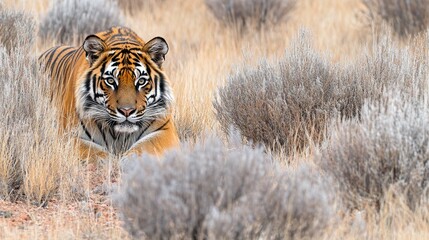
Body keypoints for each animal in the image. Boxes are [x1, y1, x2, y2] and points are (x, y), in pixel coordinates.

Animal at [39, 26, 179, 159]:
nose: (126, 111)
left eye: (141, 81)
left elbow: (142, 149)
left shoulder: (165, 130)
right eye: (111, 80)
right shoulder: (67, 136)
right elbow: (96, 154)